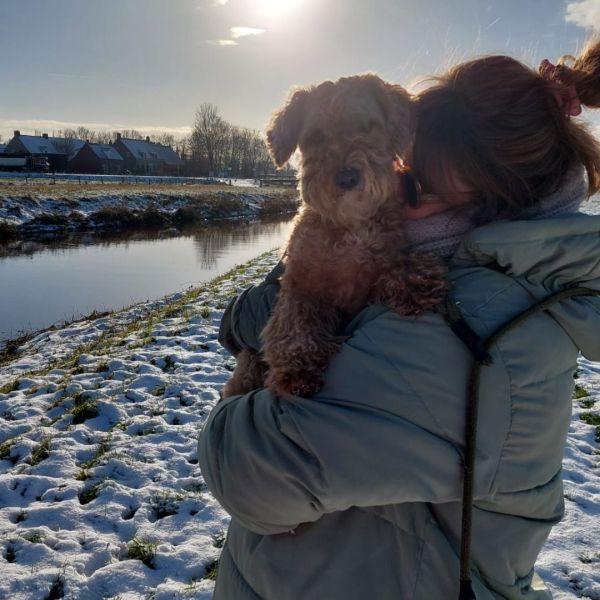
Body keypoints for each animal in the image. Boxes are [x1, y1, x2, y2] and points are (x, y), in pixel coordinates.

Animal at [221, 74, 446, 398]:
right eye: (315, 136)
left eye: (366, 126)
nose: (347, 176)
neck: (351, 226)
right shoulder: (300, 284)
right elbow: (295, 325)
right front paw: (297, 370)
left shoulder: (373, 273)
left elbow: (394, 267)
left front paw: (416, 281)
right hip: (248, 365)